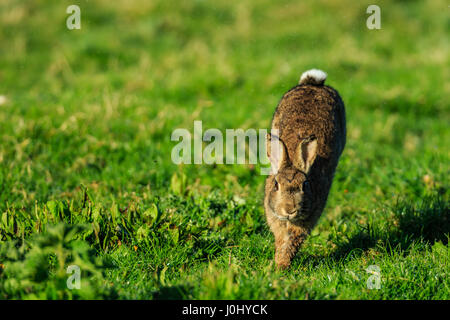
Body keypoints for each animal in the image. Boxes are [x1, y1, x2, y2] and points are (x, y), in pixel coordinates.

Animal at [264, 69, 348, 268]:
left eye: (305, 186)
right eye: (276, 185)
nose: (289, 209)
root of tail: (313, 83)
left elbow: (291, 241)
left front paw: (281, 265)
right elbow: (282, 239)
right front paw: (278, 265)